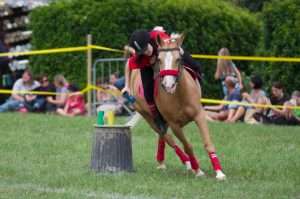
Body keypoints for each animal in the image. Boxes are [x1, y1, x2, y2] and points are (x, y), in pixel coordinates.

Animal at [154, 33, 226, 180]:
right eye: (159, 59)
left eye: (178, 59)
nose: (168, 86)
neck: (179, 95)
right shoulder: (175, 125)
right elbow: (188, 146)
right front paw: (197, 170)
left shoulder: (199, 116)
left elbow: (208, 143)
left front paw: (219, 172)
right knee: (165, 136)